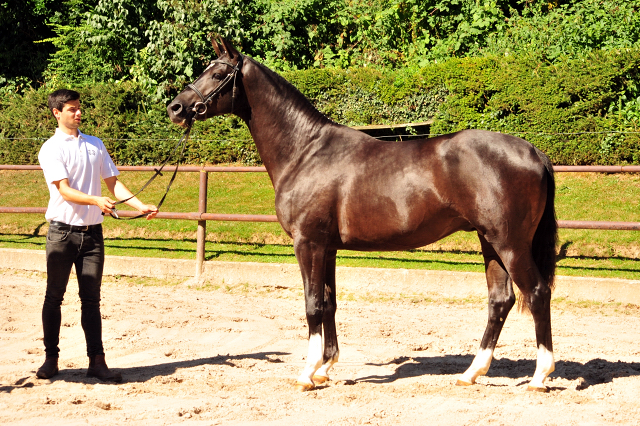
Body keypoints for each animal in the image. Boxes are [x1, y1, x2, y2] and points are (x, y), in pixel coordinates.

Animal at [168, 38, 556, 392]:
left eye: (218, 73)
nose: (175, 107)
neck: (305, 151)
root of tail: (534, 151)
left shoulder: (308, 243)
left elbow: (312, 305)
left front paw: (307, 374)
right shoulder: (327, 248)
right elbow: (329, 303)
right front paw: (325, 367)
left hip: (510, 244)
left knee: (537, 293)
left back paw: (540, 376)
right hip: (490, 242)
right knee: (500, 301)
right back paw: (471, 373)